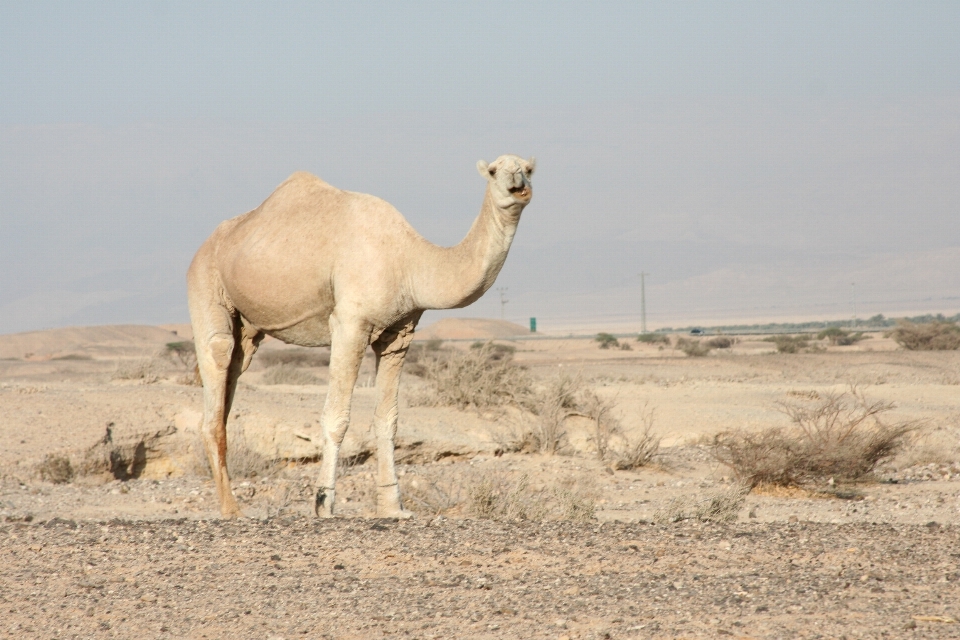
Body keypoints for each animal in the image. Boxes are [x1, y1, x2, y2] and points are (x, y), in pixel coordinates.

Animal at [186, 155, 532, 520]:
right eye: (494, 171)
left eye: (528, 168)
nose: (517, 183)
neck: (410, 261)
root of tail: (202, 248)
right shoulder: (350, 325)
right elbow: (336, 418)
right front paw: (323, 503)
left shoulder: (399, 333)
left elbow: (387, 420)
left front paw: (392, 506)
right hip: (204, 279)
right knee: (219, 356)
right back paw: (231, 508)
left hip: (249, 326)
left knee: (234, 369)